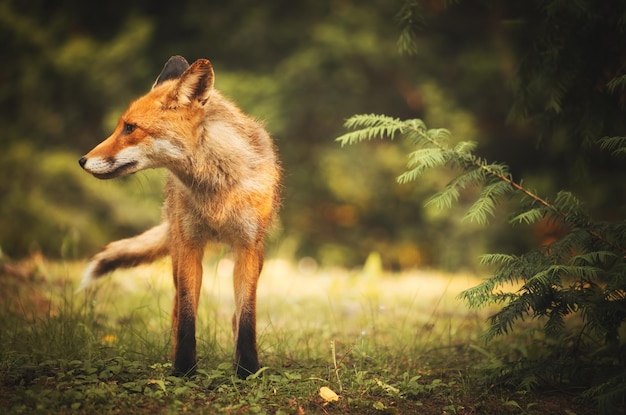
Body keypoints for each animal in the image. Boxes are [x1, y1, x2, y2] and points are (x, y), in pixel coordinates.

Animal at [78, 56, 280, 380]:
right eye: (122, 126)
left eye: (130, 128)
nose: (82, 160)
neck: (216, 190)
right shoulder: (189, 244)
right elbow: (186, 315)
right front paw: (183, 370)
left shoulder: (248, 246)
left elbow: (247, 317)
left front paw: (247, 370)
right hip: (176, 253)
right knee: (176, 308)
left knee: (236, 315)